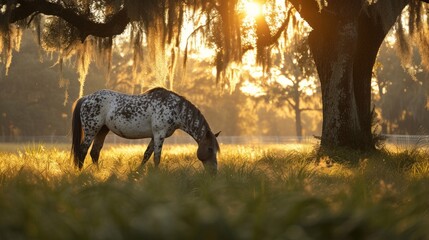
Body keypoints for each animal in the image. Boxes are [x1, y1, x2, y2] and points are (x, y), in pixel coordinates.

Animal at [69, 87, 221, 173]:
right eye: (209, 149)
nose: (214, 172)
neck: (175, 109)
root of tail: (85, 98)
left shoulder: (156, 136)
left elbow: (147, 155)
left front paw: (138, 173)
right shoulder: (159, 134)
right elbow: (156, 157)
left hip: (102, 130)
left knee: (94, 152)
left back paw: (98, 173)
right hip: (91, 130)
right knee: (82, 151)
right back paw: (81, 174)